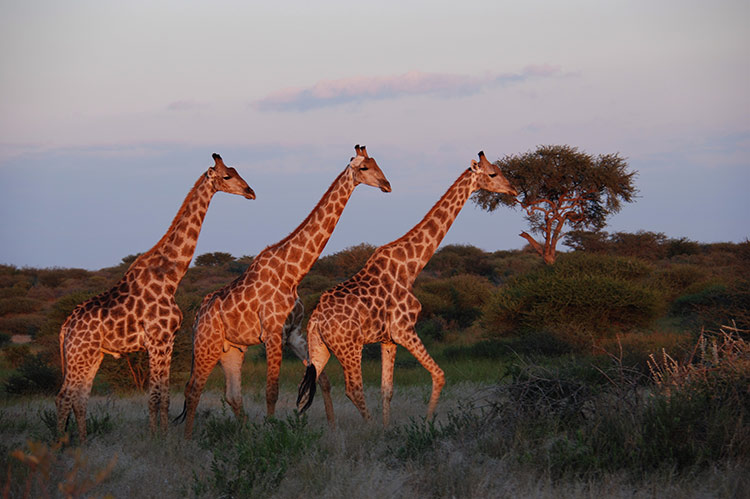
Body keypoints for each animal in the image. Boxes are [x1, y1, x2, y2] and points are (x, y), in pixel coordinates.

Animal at [56, 154, 255, 442]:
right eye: (227, 176)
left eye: (236, 171)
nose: (250, 191)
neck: (171, 276)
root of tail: (64, 328)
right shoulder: (156, 341)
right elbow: (154, 396)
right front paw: (154, 438)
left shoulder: (168, 341)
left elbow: (165, 396)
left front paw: (164, 434)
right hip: (78, 355)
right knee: (64, 397)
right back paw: (59, 445)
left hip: (92, 355)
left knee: (79, 398)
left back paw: (82, 442)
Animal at [176, 145, 391, 438]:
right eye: (365, 168)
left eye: (377, 163)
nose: (387, 184)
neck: (293, 273)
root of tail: (198, 316)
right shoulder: (272, 334)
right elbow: (272, 390)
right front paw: (271, 432)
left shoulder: (293, 334)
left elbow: (322, 380)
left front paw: (333, 429)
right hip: (206, 344)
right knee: (193, 388)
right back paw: (187, 439)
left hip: (231, 350)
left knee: (232, 395)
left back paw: (245, 435)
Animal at [297, 151, 517, 425]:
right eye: (492, 174)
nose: (513, 189)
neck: (411, 266)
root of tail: (316, 319)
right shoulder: (405, 330)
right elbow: (439, 375)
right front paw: (426, 424)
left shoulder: (388, 340)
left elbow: (387, 389)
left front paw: (388, 428)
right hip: (350, 347)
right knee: (353, 389)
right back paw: (368, 429)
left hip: (320, 348)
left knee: (310, 387)